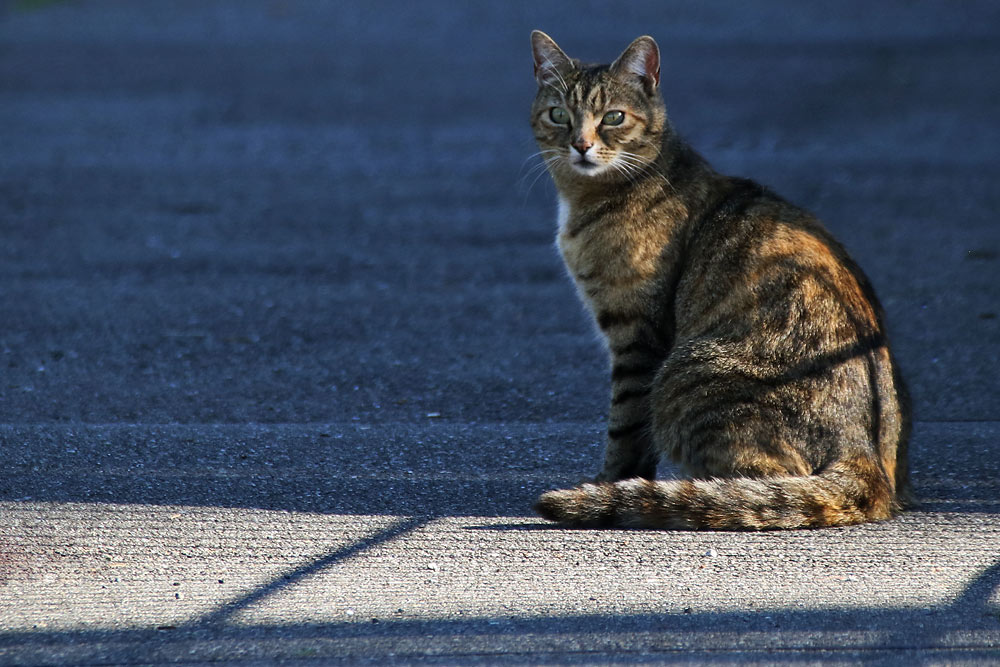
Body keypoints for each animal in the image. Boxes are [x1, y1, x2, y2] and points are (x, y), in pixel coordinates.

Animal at [532, 31, 916, 528]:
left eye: (613, 117)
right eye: (559, 114)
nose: (580, 144)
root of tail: (867, 459)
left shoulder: (637, 336)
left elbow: (625, 428)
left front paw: (606, 485)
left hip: (683, 376)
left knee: (763, 485)